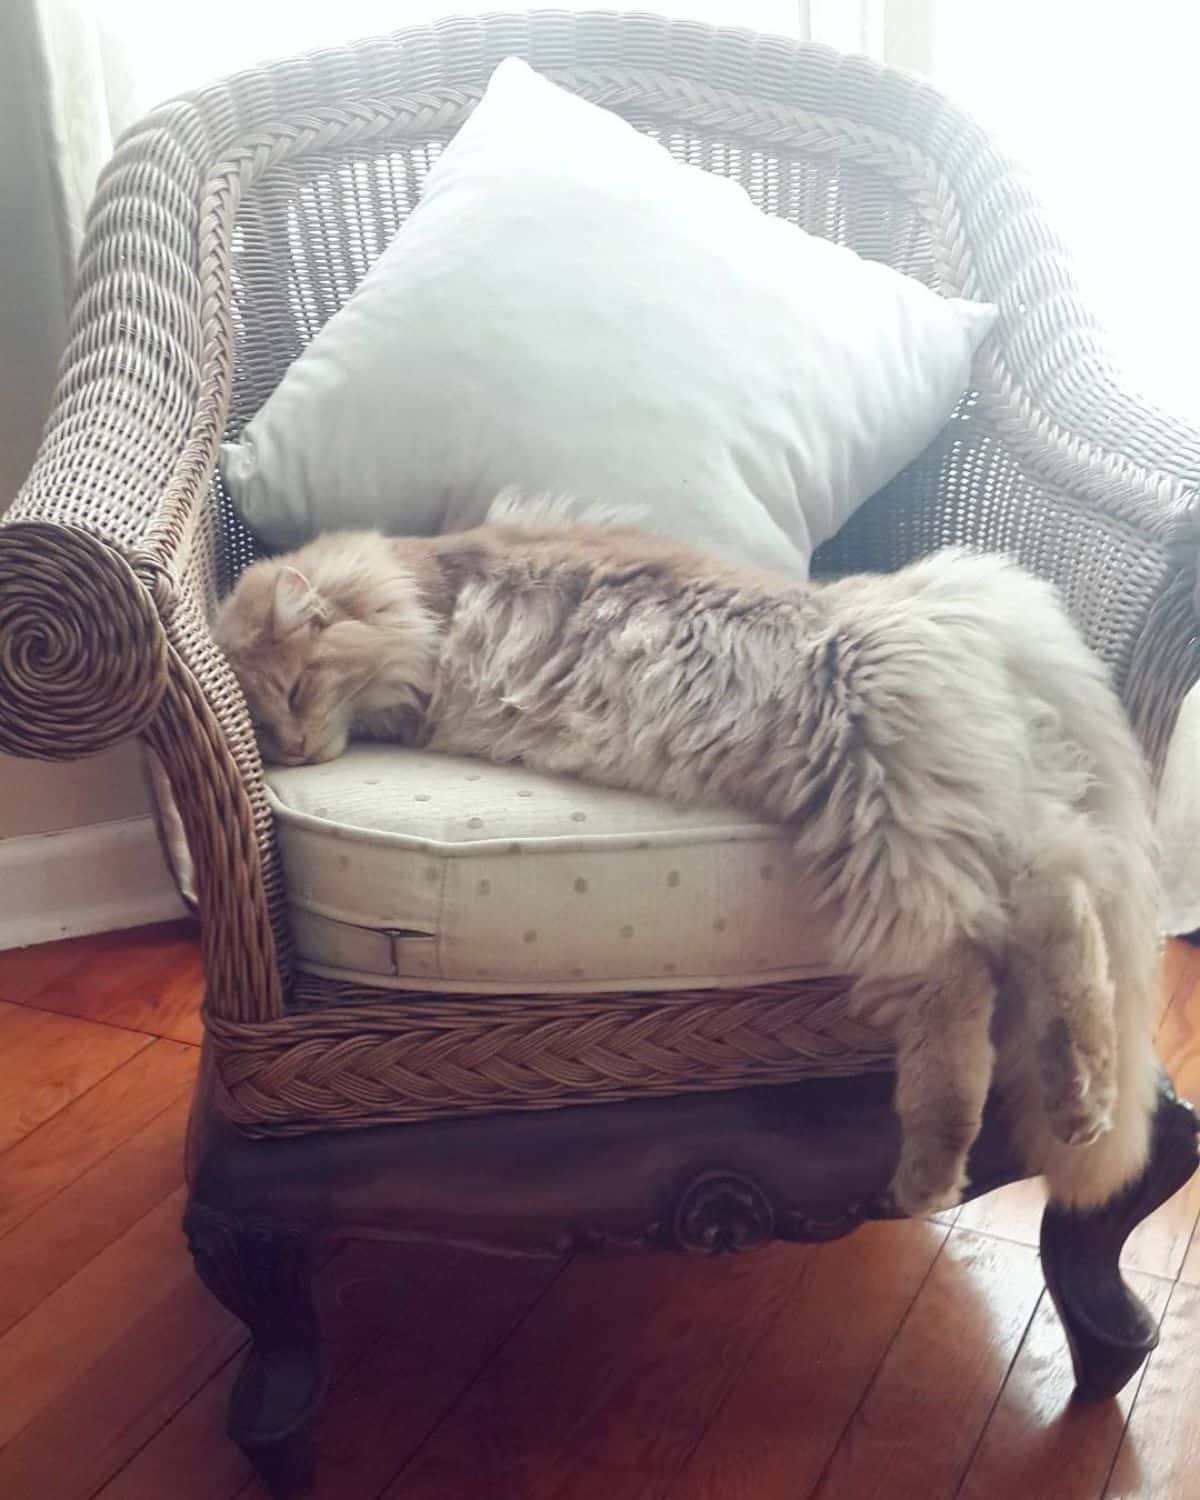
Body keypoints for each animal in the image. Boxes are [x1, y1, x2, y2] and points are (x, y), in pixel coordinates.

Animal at [211, 507, 1158, 1218]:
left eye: (295, 692)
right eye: (263, 730)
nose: (294, 751)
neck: (420, 587)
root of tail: (940, 608)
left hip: (890, 826)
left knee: (961, 980)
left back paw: (930, 1180)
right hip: (978, 813)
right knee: (1065, 903)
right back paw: (1083, 1099)